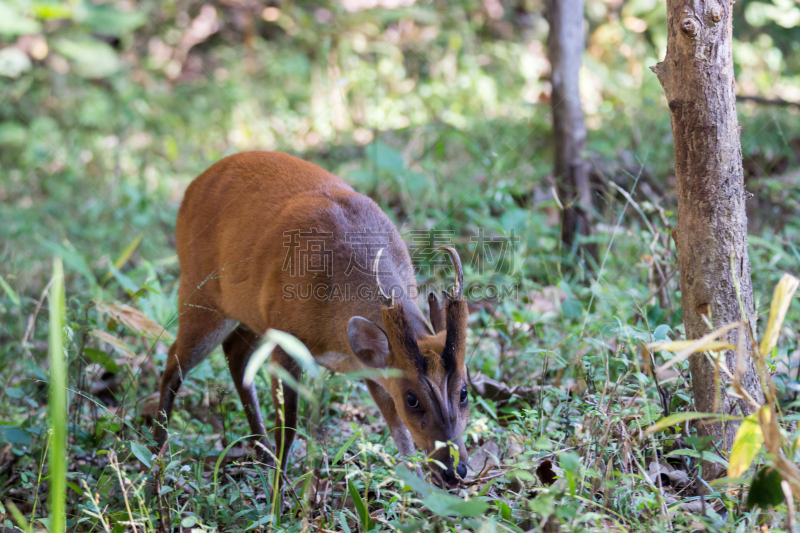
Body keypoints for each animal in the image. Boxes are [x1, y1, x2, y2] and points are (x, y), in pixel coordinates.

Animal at [154, 150, 472, 486]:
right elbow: (289, 428)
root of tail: (193, 186)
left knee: (235, 353)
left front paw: (419, 489)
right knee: (174, 359)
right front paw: (279, 492)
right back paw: (156, 454)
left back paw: (260, 451)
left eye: (464, 392)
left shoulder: (372, 365)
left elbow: (400, 434)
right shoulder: (285, 341)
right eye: (412, 398)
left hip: (250, 313)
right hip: (199, 291)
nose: (455, 470)